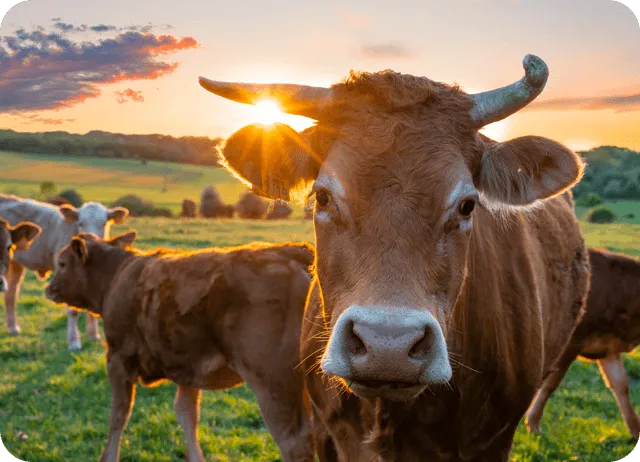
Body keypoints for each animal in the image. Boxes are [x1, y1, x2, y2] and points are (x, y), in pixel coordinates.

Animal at [0, 194, 129, 350]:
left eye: (104, 223)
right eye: (80, 223)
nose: (91, 239)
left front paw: (93, 335)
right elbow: (73, 310)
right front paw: (74, 342)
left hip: (16, 263)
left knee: (11, 293)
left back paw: (13, 327)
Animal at [44, 233, 316, 462]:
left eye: (62, 263)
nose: (49, 288)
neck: (116, 277)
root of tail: (292, 252)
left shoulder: (118, 359)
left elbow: (118, 416)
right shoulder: (188, 367)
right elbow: (187, 416)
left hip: (273, 383)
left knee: (295, 444)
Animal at [524, 249, 640, 440]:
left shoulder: (608, 349)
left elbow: (621, 386)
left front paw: (636, 431)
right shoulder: (571, 342)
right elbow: (550, 383)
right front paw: (533, 424)